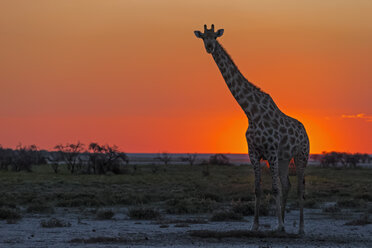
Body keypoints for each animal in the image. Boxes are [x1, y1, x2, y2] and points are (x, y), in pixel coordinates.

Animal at [195, 24, 310, 233]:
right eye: (203, 38)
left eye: (215, 37)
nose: (209, 47)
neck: (251, 112)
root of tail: (305, 131)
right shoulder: (254, 152)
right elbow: (257, 189)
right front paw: (256, 225)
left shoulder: (271, 151)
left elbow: (274, 188)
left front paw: (280, 225)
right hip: (284, 158)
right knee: (287, 184)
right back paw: (284, 223)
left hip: (301, 155)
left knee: (299, 188)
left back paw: (300, 228)